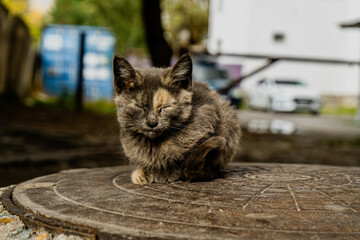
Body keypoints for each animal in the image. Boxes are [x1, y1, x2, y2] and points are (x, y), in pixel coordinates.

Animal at [114, 52, 240, 184]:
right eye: (140, 106)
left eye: (165, 107)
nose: (152, 123)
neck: (154, 144)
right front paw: (141, 172)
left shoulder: (208, 115)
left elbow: (188, 156)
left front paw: (166, 173)